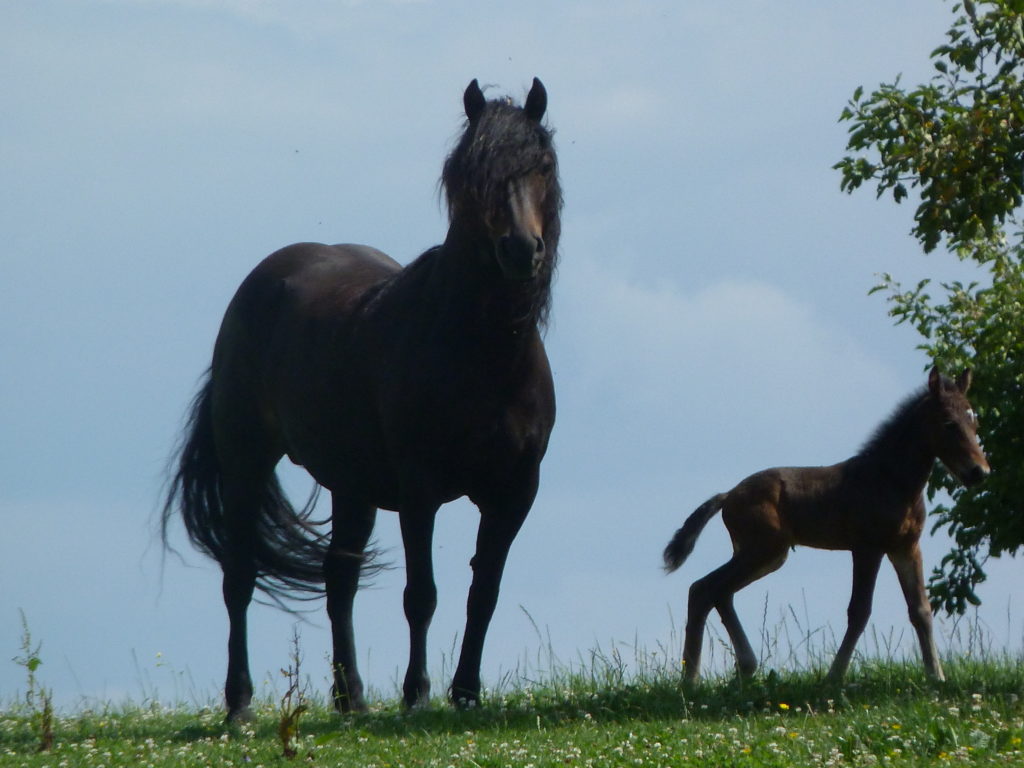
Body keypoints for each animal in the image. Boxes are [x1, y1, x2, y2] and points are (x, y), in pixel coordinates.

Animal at [163, 78, 561, 721]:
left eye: (542, 165)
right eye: (468, 171)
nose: (521, 250)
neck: (484, 358)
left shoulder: (515, 493)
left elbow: (484, 593)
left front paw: (466, 694)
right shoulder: (420, 489)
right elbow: (422, 595)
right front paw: (417, 695)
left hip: (352, 485)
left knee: (338, 581)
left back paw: (352, 699)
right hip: (247, 460)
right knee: (240, 576)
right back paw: (240, 704)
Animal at [663, 367, 989, 684]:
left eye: (974, 421)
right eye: (949, 423)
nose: (979, 472)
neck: (892, 480)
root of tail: (728, 495)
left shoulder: (906, 547)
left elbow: (920, 609)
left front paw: (937, 676)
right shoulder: (867, 548)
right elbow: (859, 610)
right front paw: (834, 676)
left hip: (768, 556)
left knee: (719, 592)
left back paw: (742, 667)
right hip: (762, 550)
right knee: (704, 589)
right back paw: (690, 679)